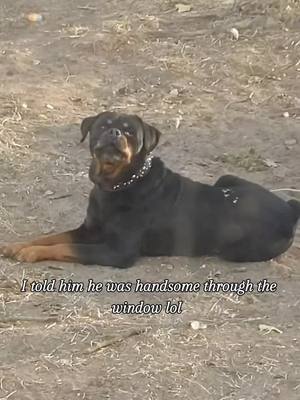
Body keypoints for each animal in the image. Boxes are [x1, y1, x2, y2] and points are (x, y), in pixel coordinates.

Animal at [0, 112, 300, 268]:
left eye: (130, 131)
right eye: (103, 126)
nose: (115, 134)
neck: (116, 186)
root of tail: (288, 208)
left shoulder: (117, 251)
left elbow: (66, 247)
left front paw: (32, 253)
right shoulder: (89, 230)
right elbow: (53, 236)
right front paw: (18, 245)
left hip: (236, 249)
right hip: (226, 178)